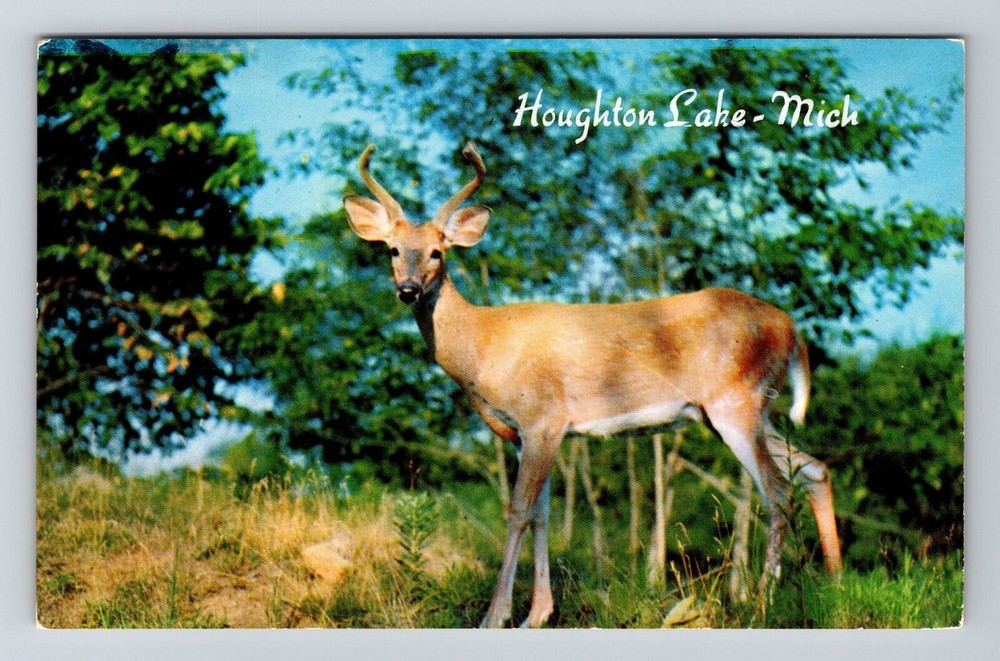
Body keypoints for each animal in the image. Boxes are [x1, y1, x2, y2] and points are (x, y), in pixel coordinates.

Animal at [343, 142, 843, 628]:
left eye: (437, 251)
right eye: (392, 249)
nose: (408, 290)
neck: (483, 348)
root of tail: (791, 329)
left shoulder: (542, 418)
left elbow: (519, 511)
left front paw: (495, 617)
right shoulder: (531, 434)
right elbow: (543, 515)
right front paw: (536, 615)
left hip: (735, 403)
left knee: (778, 492)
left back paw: (762, 605)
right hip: (748, 411)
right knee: (814, 469)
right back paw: (833, 587)